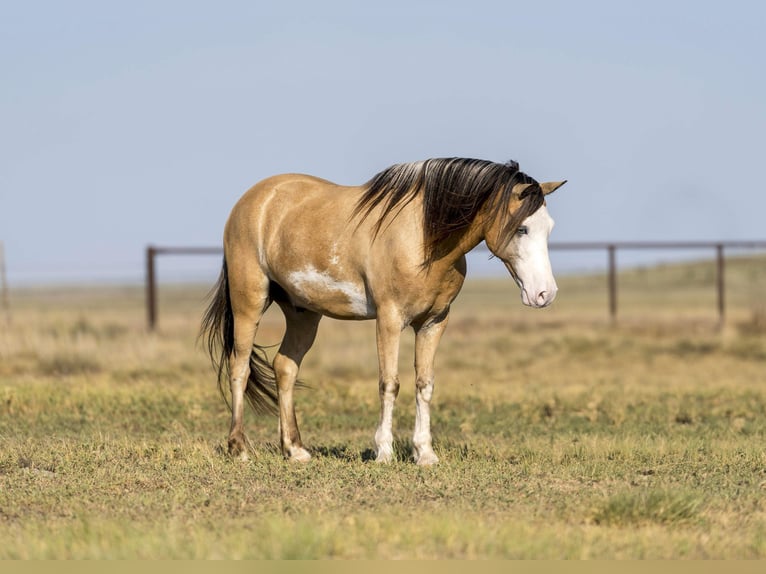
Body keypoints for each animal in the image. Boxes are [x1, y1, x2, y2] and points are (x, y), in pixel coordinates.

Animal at [202, 157, 566, 465]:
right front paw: (384, 452)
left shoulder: (433, 322)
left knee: (285, 368)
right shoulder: (389, 320)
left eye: (549, 228)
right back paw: (238, 448)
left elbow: (425, 383)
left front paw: (425, 454)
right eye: (522, 228)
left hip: (302, 312)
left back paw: (295, 449)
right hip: (249, 301)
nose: (545, 294)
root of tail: (254, 199)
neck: (422, 238)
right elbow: (389, 383)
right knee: (239, 367)